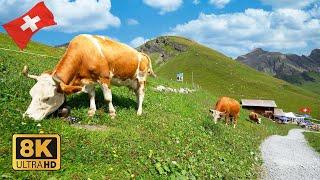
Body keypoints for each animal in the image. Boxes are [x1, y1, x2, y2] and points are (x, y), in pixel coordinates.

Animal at [22, 34, 155, 121]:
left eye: (47, 98)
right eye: (31, 94)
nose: (27, 117)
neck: (85, 53)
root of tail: (141, 53)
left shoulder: (104, 78)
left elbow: (108, 98)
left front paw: (112, 113)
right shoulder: (88, 79)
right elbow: (91, 95)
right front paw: (91, 111)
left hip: (141, 79)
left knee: (141, 94)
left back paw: (139, 112)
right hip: (133, 81)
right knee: (137, 94)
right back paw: (137, 106)